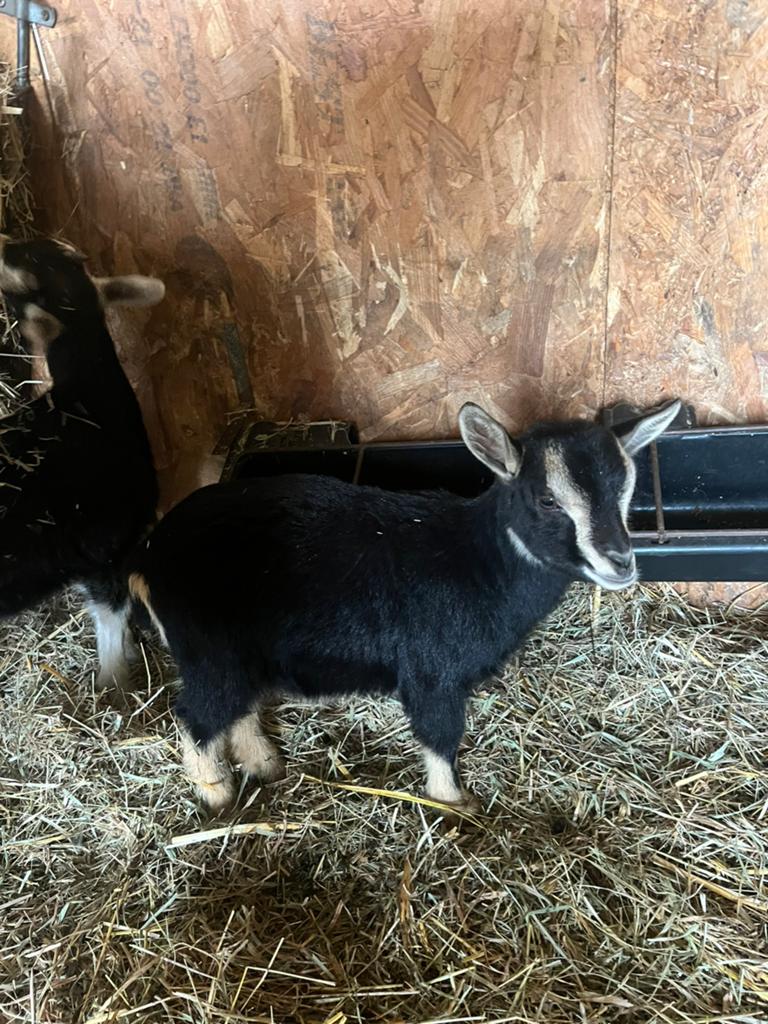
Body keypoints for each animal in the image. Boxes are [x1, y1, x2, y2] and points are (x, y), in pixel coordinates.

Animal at [129, 400, 680, 815]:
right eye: (547, 500)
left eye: (627, 487)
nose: (621, 563)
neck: (480, 562)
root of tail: (148, 561)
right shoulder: (432, 672)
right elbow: (440, 734)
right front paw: (455, 801)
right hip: (210, 652)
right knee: (197, 715)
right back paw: (217, 796)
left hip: (242, 655)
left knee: (236, 707)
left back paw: (267, 765)